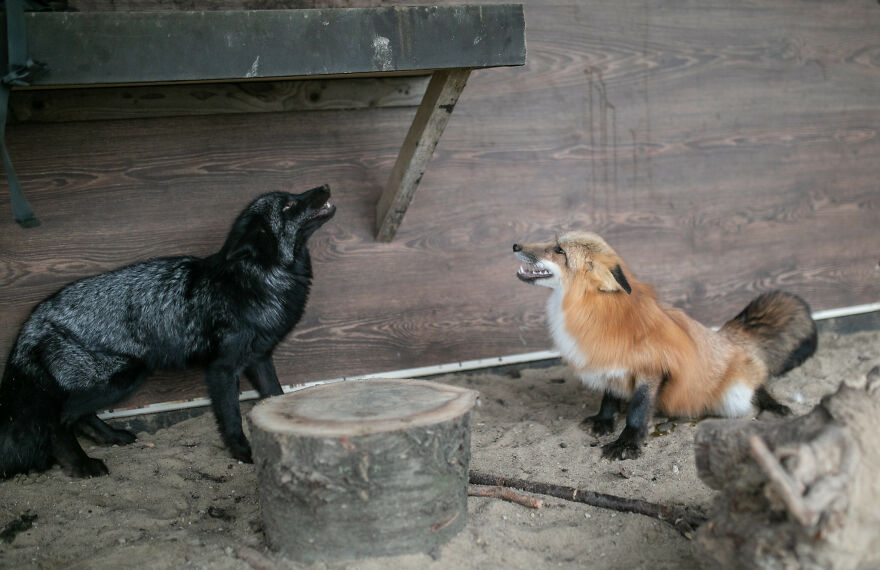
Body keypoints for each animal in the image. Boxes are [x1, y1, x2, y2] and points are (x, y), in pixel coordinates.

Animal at [513, 231, 817, 460]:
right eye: (553, 243)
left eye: (559, 250)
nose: (515, 245)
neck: (597, 314)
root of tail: (727, 337)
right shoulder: (609, 364)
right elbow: (609, 398)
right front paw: (604, 421)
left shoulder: (652, 369)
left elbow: (637, 411)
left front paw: (627, 444)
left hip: (735, 397)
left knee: (759, 386)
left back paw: (775, 407)